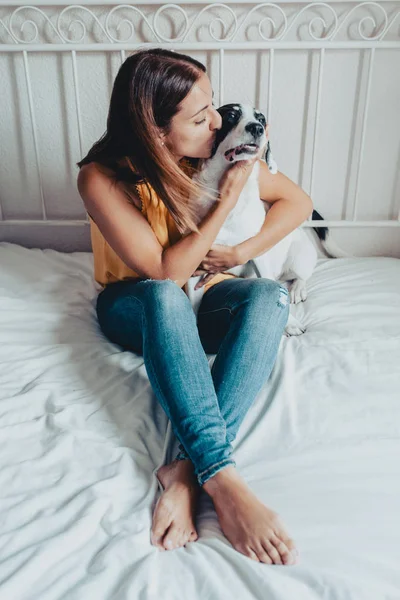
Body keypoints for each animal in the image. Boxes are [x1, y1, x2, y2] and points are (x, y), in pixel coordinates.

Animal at [183, 103, 348, 338]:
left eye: (261, 119)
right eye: (231, 115)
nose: (257, 128)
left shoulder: (256, 252)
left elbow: (270, 285)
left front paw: (291, 323)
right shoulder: (194, 264)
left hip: (299, 257)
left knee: (300, 276)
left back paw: (297, 288)